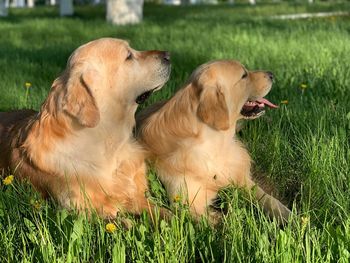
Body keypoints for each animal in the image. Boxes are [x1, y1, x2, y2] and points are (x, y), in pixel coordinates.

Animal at [0, 37, 172, 219]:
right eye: (128, 56)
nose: (168, 55)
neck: (106, 142)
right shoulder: (77, 206)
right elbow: (115, 218)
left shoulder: (136, 194)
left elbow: (160, 210)